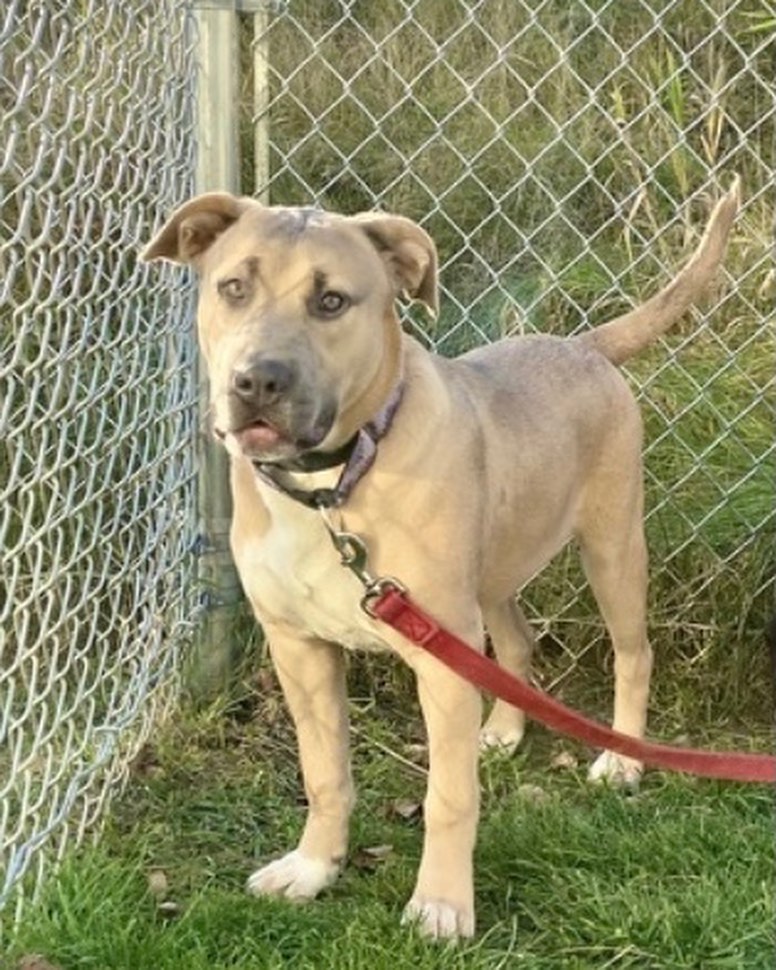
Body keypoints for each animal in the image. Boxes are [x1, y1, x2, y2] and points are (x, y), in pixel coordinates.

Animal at [144, 178, 740, 932]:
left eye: (331, 301)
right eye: (232, 287)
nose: (257, 381)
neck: (333, 487)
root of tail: (584, 345)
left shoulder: (439, 661)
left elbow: (450, 797)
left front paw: (441, 904)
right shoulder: (299, 649)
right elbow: (324, 773)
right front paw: (314, 867)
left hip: (612, 548)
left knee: (633, 653)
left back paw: (621, 760)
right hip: (492, 574)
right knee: (516, 642)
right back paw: (506, 730)